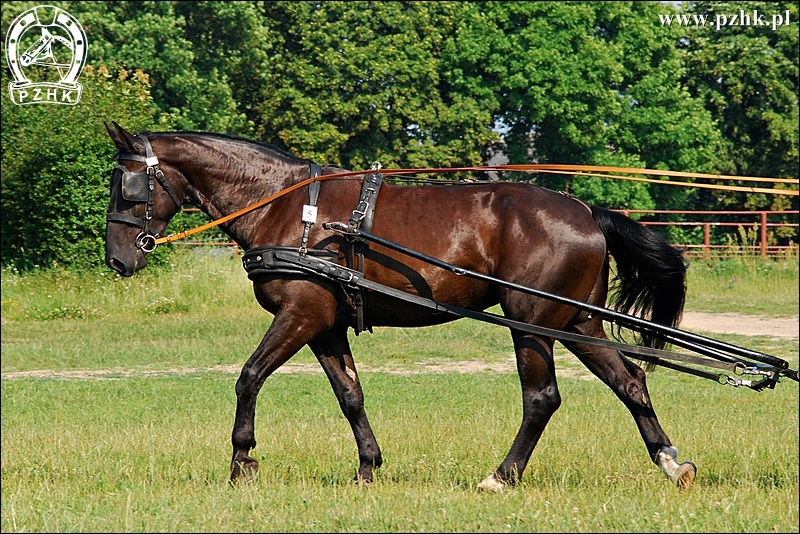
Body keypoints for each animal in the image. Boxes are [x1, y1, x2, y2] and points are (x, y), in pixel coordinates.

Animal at [103, 123, 696, 492]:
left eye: (127, 185)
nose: (117, 258)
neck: (289, 208)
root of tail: (588, 213)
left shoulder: (300, 315)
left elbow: (248, 377)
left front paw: (242, 461)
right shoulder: (326, 326)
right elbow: (350, 396)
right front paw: (368, 467)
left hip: (530, 322)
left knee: (542, 399)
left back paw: (501, 476)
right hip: (579, 321)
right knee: (631, 382)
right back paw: (671, 463)